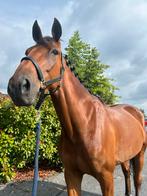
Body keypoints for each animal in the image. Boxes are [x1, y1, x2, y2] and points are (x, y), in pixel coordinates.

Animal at [7, 18, 146, 194]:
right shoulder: (71, 175)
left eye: (54, 52)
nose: (17, 86)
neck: (86, 125)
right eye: (27, 51)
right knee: (127, 174)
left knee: (137, 181)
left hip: (140, 154)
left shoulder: (107, 178)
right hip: (126, 157)